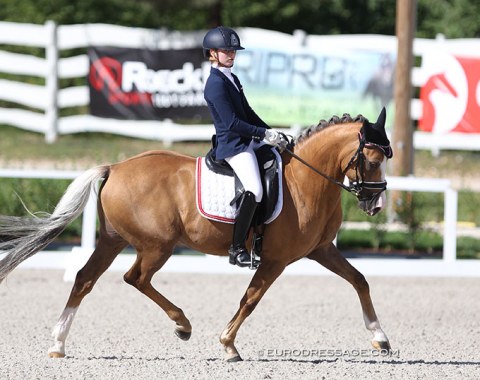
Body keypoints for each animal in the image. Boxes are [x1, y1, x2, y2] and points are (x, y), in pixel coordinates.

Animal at [0, 108, 392, 360]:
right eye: (373, 161)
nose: (376, 204)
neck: (304, 180)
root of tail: (115, 167)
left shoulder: (322, 250)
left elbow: (359, 280)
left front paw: (380, 338)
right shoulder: (275, 260)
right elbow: (250, 299)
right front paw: (228, 344)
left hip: (113, 240)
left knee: (84, 279)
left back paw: (58, 344)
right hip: (156, 245)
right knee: (135, 278)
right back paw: (182, 325)